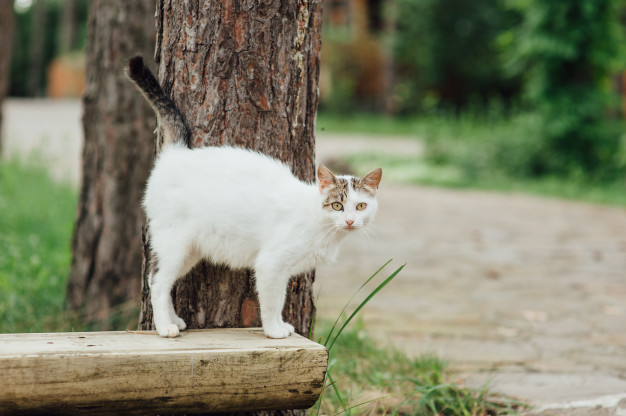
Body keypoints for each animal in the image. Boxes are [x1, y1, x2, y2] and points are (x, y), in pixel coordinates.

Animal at [126, 57, 380, 340]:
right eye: (337, 206)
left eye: (360, 206)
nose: (349, 221)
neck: (319, 223)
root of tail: (176, 154)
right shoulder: (270, 265)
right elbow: (272, 302)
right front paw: (274, 330)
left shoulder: (283, 270)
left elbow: (278, 299)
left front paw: (280, 326)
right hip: (174, 243)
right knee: (158, 282)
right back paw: (164, 327)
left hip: (190, 251)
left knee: (162, 281)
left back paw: (175, 320)